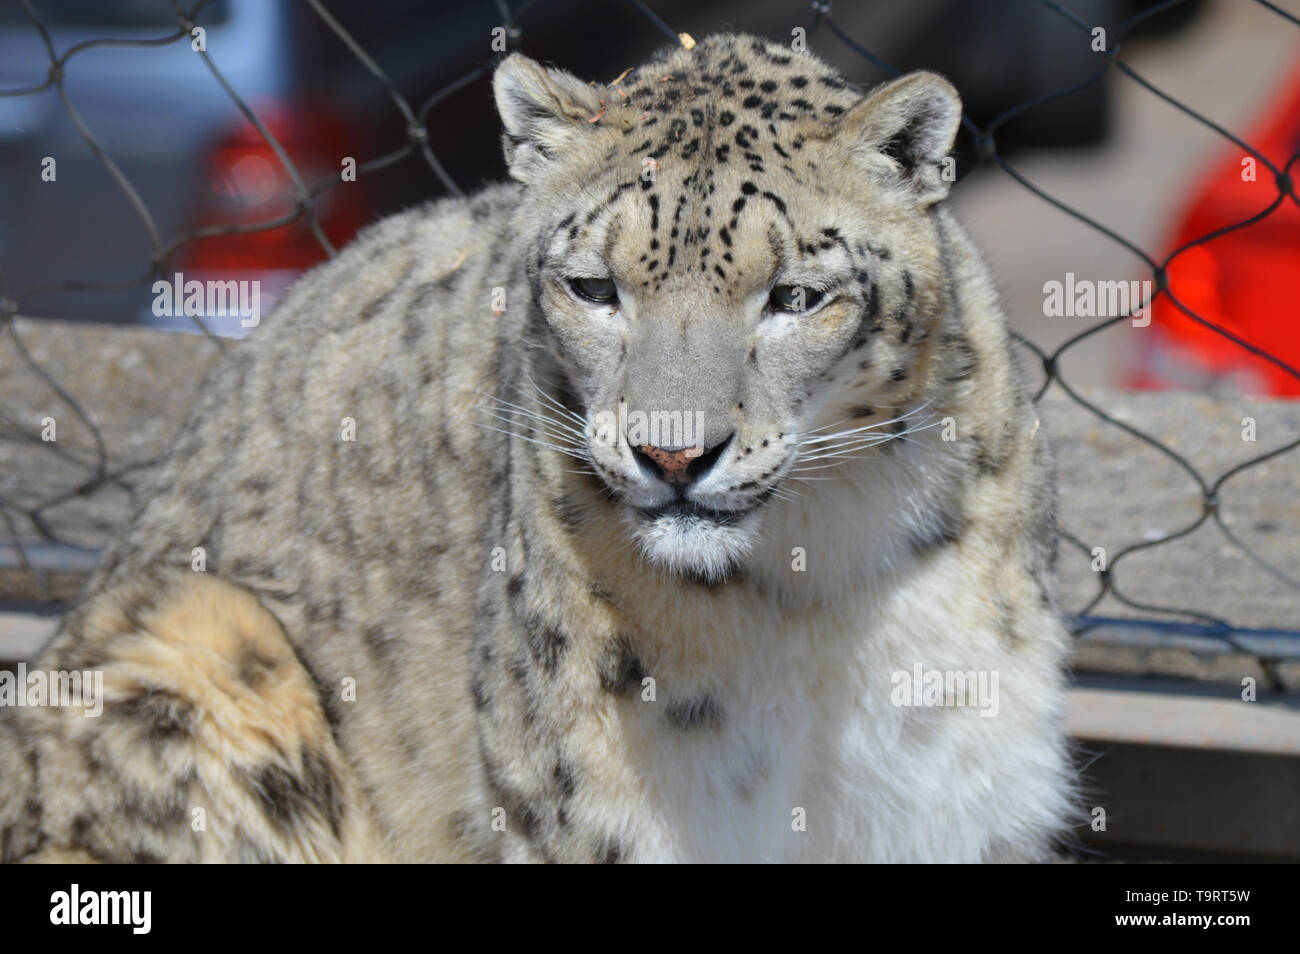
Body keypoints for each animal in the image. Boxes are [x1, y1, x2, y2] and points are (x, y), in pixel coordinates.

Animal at [0, 33, 1075, 863]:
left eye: (797, 296)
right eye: (594, 287)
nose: (672, 458)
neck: (813, 592)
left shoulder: (951, 785)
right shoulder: (599, 796)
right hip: (199, 635)